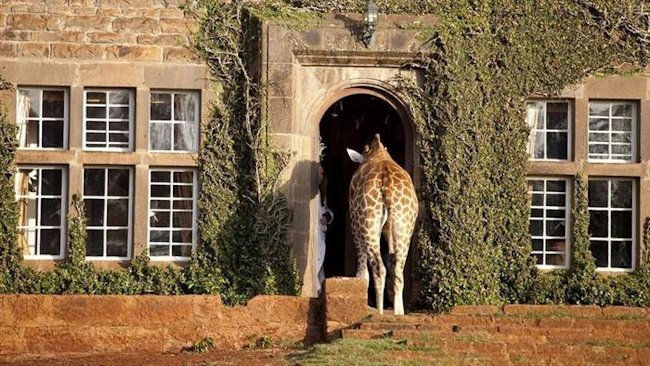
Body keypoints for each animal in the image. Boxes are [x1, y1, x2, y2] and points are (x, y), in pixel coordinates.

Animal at [346, 134, 418, 314]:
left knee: (378, 268)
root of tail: (387, 183)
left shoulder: (355, 225)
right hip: (404, 225)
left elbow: (362, 273)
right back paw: (398, 314)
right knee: (398, 270)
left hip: (369, 222)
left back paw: (378, 313)